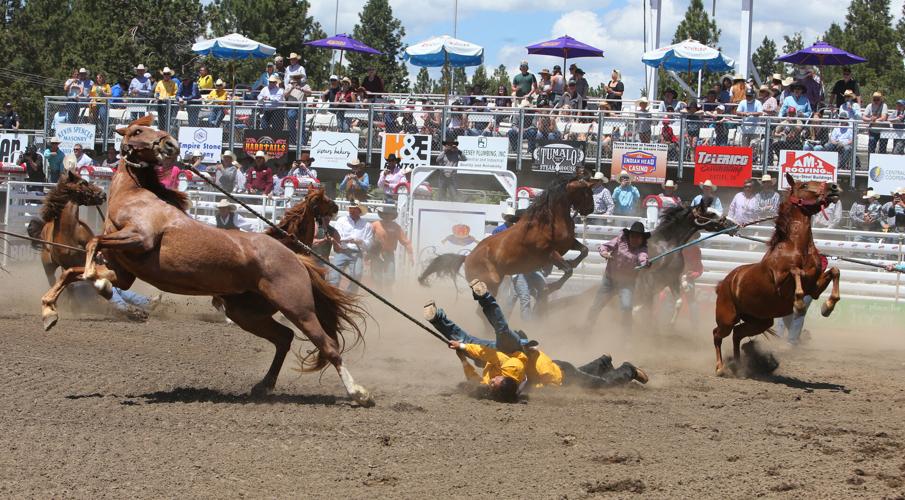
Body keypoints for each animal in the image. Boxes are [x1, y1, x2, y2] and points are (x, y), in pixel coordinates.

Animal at [41, 116, 374, 406]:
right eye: (137, 131)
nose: (171, 145)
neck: (135, 198)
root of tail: (293, 255)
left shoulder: (140, 238)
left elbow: (92, 246)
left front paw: (96, 283)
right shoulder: (123, 272)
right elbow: (71, 272)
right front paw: (49, 311)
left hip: (297, 306)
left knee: (327, 345)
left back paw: (359, 394)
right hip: (247, 312)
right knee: (284, 337)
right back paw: (264, 386)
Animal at [418, 175, 600, 292]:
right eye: (587, 192)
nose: (590, 209)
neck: (549, 220)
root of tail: (467, 257)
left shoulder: (568, 243)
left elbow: (584, 250)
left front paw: (574, 262)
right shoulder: (548, 253)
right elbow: (568, 270)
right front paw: (551, 286)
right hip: (490, 282)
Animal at [712, 174, 840, 374]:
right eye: (804, 185)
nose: (834, 187)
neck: (797, 248)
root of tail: (725, 283)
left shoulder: (814, 288)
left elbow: (835, 271)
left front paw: (827, 307)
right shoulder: (780, 280)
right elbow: (796, 272)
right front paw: (798, 305)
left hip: (760, 321)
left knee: (737, 334)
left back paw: (739, 366)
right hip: (727, 318)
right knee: (717, 334)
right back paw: (720, 367)